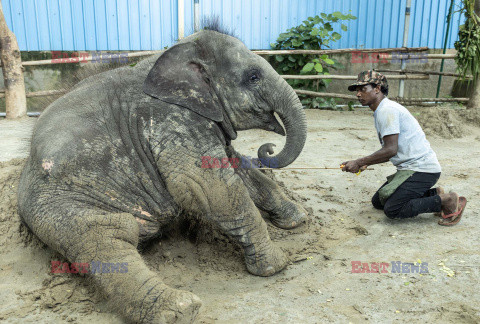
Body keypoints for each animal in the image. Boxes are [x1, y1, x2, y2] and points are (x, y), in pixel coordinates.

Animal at [17, 27, 308, 324]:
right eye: (253, 77)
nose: (268, 148)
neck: (176, 51)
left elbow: (236, 169)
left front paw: (297, 219)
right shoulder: (172, 121)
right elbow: (210, 186)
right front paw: (278, 263)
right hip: (55, 207)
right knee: (103, 237)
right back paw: (181, 309)